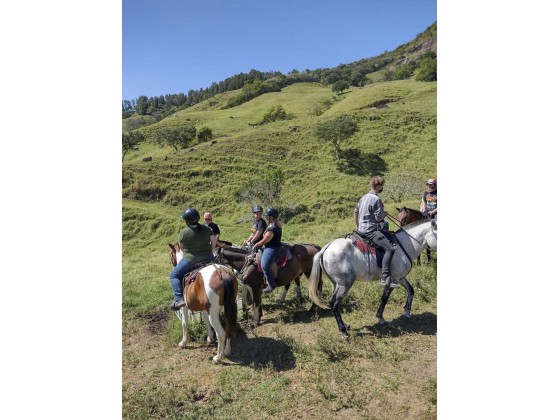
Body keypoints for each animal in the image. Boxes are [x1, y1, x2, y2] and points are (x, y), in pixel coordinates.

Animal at [308, 220, 436, 342]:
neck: (404, 245)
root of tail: (325, 249)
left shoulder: (400, 278)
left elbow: (411, 290)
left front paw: (407, 312)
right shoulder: (392, 280)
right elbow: (384, 298)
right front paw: (381, 317)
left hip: (336, 284)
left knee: (335, 304)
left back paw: (345, 326)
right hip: (345, 284)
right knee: (333, 303)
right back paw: (344, 332)